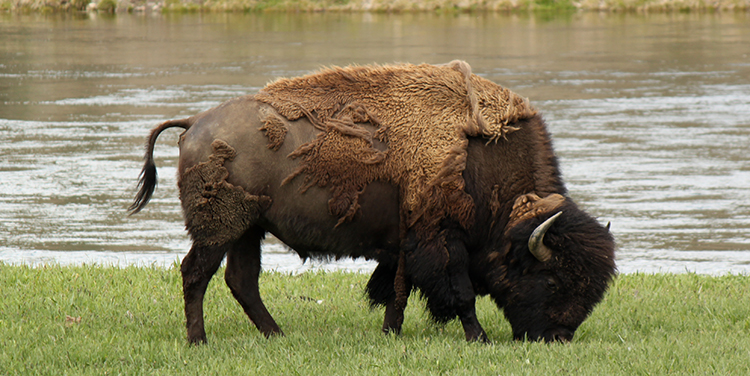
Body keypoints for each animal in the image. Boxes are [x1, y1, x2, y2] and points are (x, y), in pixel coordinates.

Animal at [129, 63, 616, 346]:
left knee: (241, 280)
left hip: (249, 228)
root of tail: (195, 123)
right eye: (551, 279)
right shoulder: (440, 240)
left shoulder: (404, 243)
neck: (480, 164)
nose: (558, 336)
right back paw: (199, 341)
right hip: (221, 228)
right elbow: (458, 293)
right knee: (197, 274)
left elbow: (398, 290)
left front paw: (391, 332)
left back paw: (277, 336)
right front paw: (478, 338)